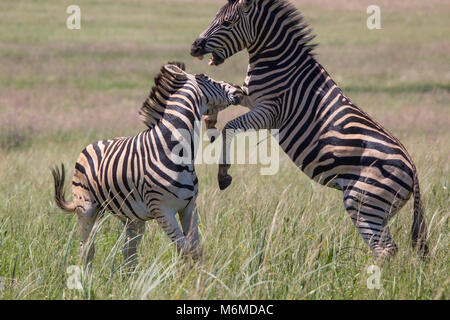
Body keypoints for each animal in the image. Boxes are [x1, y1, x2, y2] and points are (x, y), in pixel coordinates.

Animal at [51, 61, 243, 266]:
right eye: (205, 77)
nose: (239, 88)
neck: (175, 150)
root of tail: (90, 145)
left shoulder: (189, 206)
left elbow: (195, 250)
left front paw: (198, 275)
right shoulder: (162, 210)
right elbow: (185, 249)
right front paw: (183, 275)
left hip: (131, 216)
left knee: (129, 251)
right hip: (87, 208)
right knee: (87, 248)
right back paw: (85, 274)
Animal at [191, 0, 428, 260]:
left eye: (227, 23)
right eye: (216, 17)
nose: (194, 46)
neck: (278, 62)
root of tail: (413, 168)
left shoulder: (270, 112)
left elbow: (230, 127)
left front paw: (223, 173)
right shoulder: (251, 98)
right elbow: (229, 93)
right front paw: (210, 119)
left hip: (365, 202)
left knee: (386, 250)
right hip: (376, 208)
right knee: (387, 249)